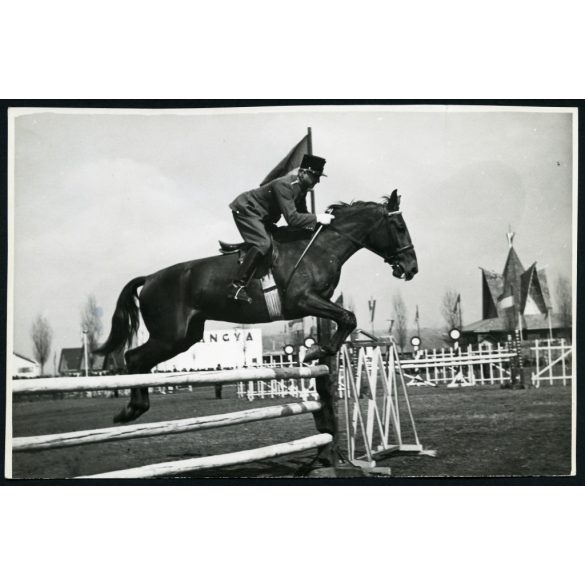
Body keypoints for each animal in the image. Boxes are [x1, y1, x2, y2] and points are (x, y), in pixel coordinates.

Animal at [96, 189, 416, 422]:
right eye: (399, 226)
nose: (411, 268)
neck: (320, 248)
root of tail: (149, 278)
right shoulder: (302, 300)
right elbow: (348, 318)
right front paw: (316, 351)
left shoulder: (315, 302)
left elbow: (346, 319)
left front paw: (318, 351)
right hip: (168, 335)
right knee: (134, 358)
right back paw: (131, 409)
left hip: (184, 336)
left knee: (141, 360)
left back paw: (135, 408)